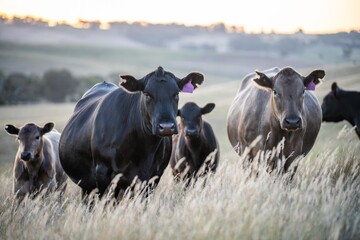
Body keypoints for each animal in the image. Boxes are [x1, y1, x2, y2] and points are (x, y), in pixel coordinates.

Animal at [60, 66, 204, 198]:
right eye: (147, 94)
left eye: (176, 94)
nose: (166, 126)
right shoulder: (102, 173)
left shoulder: (153, 177)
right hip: (88, 185)